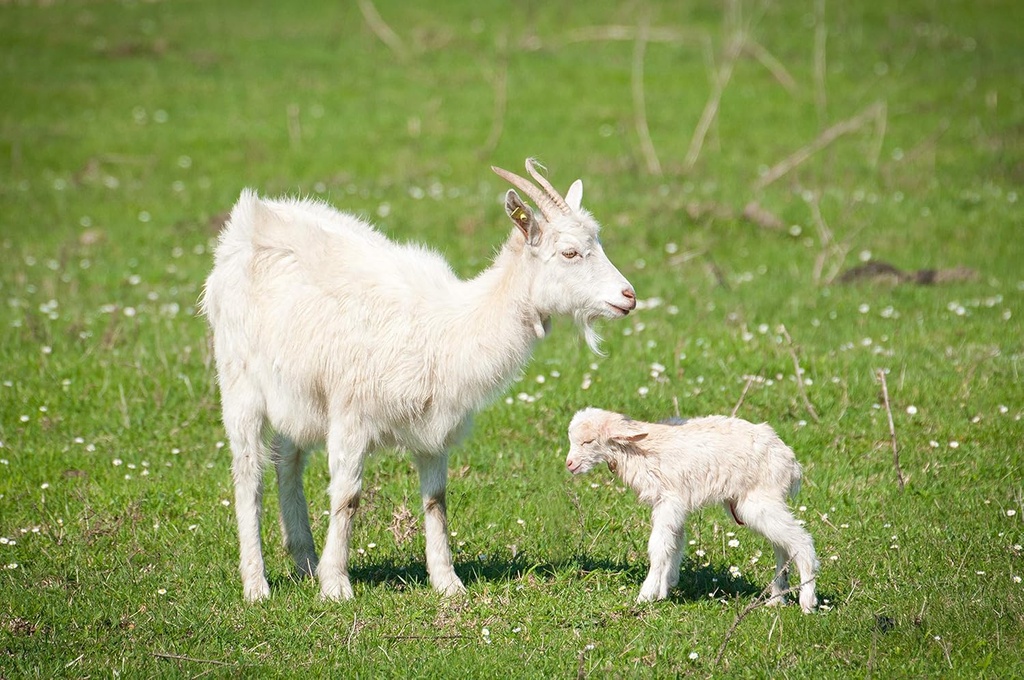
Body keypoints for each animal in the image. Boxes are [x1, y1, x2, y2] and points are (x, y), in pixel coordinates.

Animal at [201, 160, 636, 601]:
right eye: (570, 252)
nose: (629, 296)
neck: (447, 327)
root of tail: (250, 217)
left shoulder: (435, 428)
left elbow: (436, 500)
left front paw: (447, 582)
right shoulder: (351, 415)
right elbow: (347, 497)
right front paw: (336, 585)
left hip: (300, 392)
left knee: (287, 459)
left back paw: (305, 562)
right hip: (239, 379)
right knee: (248, 473)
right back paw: (257, 584)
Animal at [566, 408, 818, 612]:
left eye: (588, 441)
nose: (569, 464)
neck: (637, 450)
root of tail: (791, 463)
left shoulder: (669, 500)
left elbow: (659, 545)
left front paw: (646, 595)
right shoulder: (674, 504)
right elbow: (674, 544)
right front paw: (665, 588)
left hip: (760, 500)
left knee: (800, 540)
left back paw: (807, 601)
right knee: (782, 545)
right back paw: (776, 599)